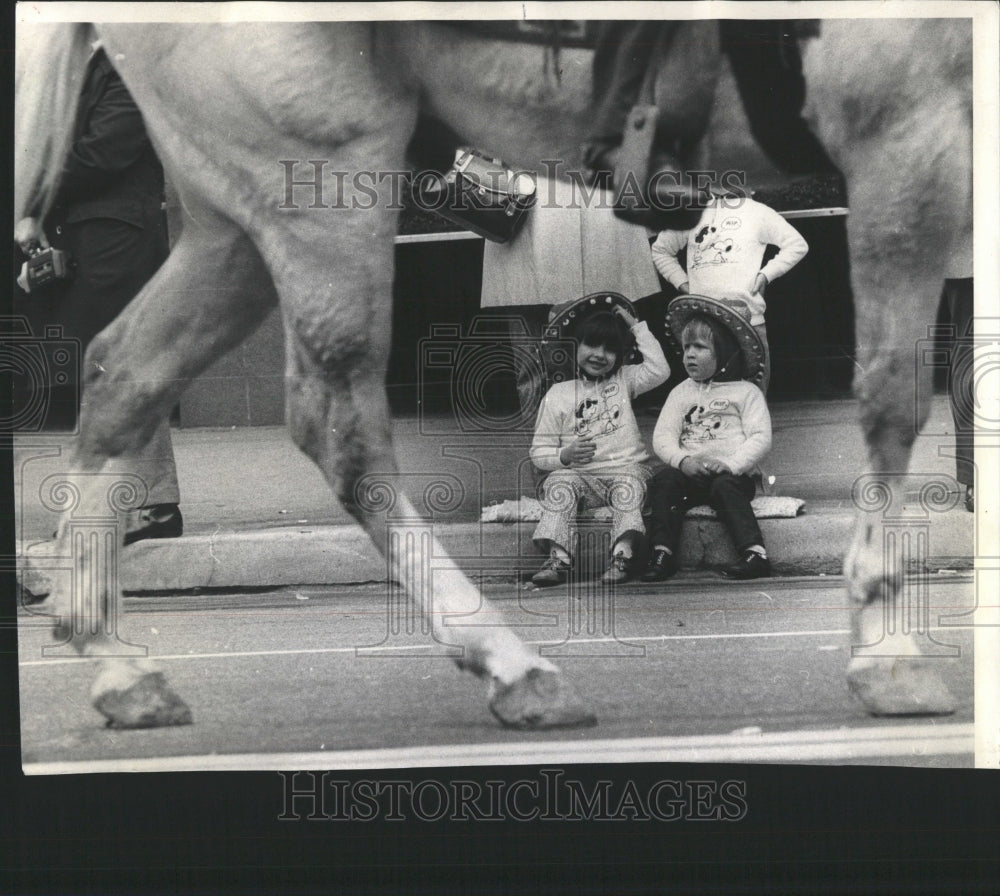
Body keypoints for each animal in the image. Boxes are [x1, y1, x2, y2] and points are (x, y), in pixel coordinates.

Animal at [15, 15, 968, 728]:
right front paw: (887, 651)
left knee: (122, 371)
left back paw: (114, 662)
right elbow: (892, 399)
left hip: (231, 216)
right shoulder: (906, 131)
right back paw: (511, 666)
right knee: (336, 428)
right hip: (318, 179)